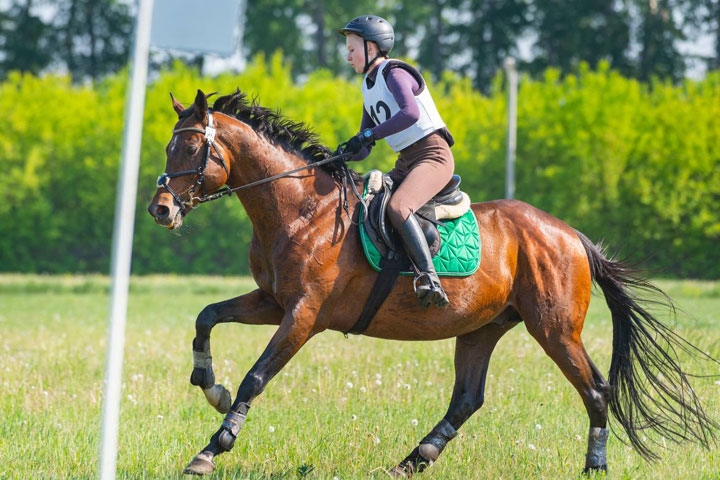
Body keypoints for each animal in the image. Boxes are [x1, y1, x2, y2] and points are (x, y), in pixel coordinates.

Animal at [146, 89, 716, 476]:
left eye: (191, 150)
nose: (160, 210)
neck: (301, 209)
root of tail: (572, 235)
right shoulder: (270, 301)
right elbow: (206, 317)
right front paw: (208, 384)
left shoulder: (303, 315)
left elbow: (256, 377)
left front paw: (210, 448)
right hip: (483, 327)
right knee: (467, 399)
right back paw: (411, 460)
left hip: (554, 329)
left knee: (595, 390)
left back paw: (594, 465)